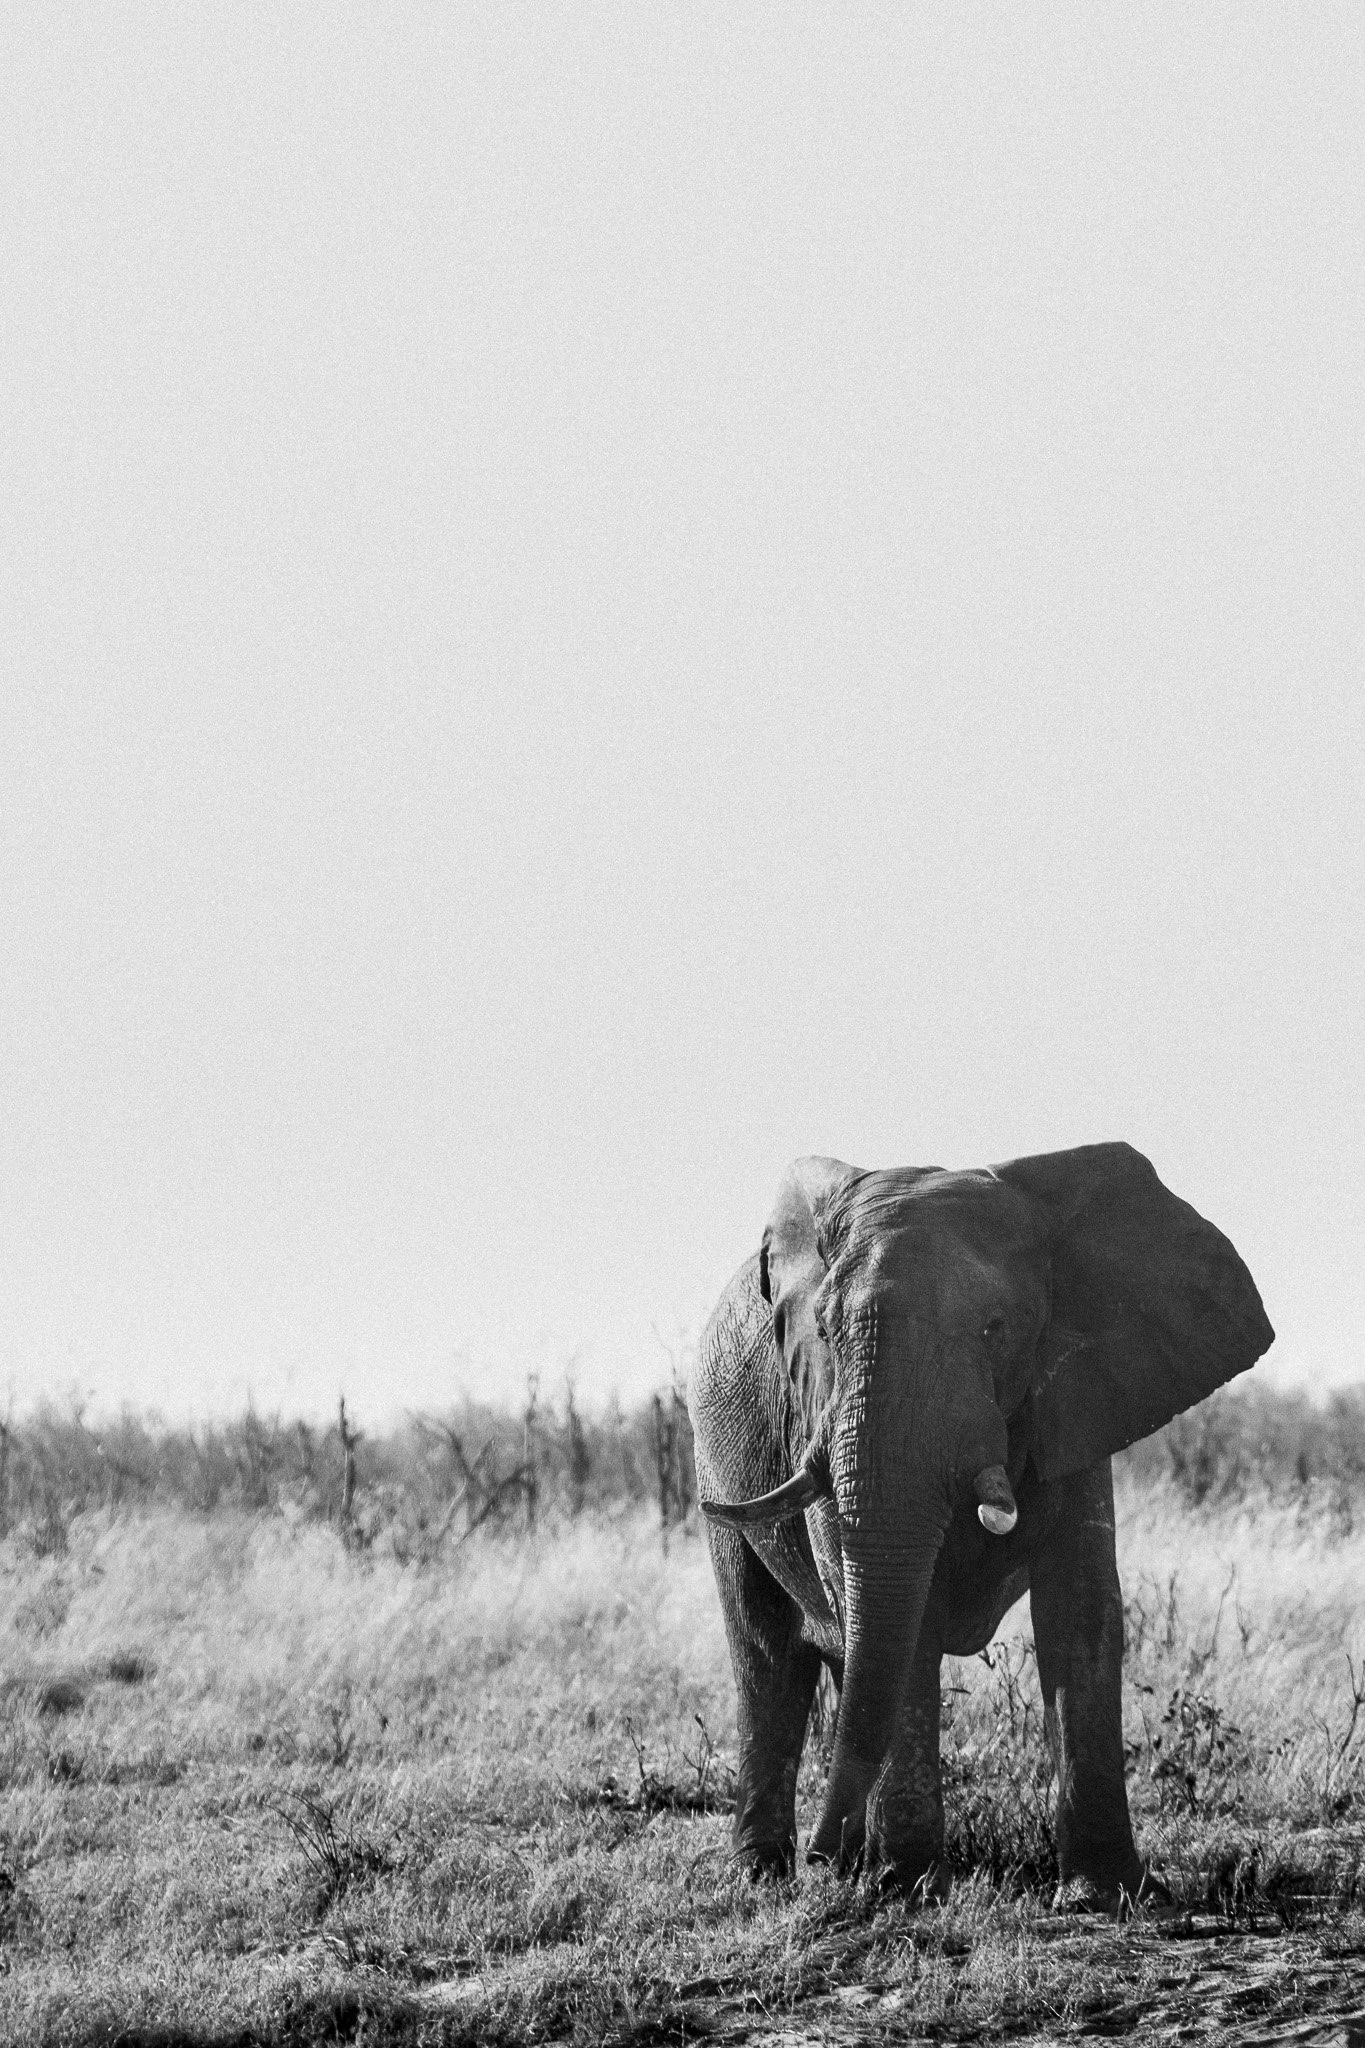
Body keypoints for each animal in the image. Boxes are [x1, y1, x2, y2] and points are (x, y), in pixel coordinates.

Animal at [689, 1143, 1273, 1908]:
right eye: (824, 1331)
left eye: (995, 1329)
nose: (820, 1854)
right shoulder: (814, 1408)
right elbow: (899, 1620)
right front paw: (906, 1888)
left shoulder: (1078, 1403)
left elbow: (1079, 1611)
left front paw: (1105, 1897)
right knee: (767, 1655)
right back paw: (768, 1873)